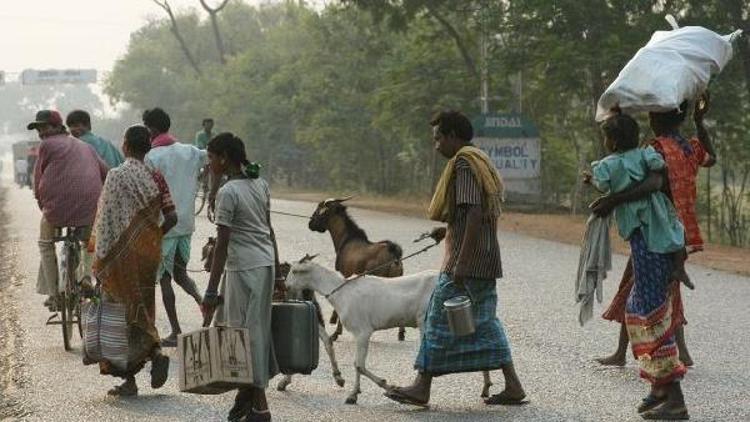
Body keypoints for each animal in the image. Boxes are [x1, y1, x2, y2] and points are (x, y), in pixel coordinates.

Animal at [284, 260, 496, 406]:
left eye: (294, 271)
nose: (285, 286)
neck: (342, 292)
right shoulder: (360, 333)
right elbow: (358, 365)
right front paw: (355, 393)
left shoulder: (363, 331)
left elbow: (359, 365)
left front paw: (380, 387)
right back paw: (486, 386)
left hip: (429, 318)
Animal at [310, 196, 408, 342]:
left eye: (319, 210)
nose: (310, 223)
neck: (345, 239)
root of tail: (393, 255)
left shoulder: (345, 276)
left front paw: (336, 332)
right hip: (397, 279)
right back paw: (401, 333)